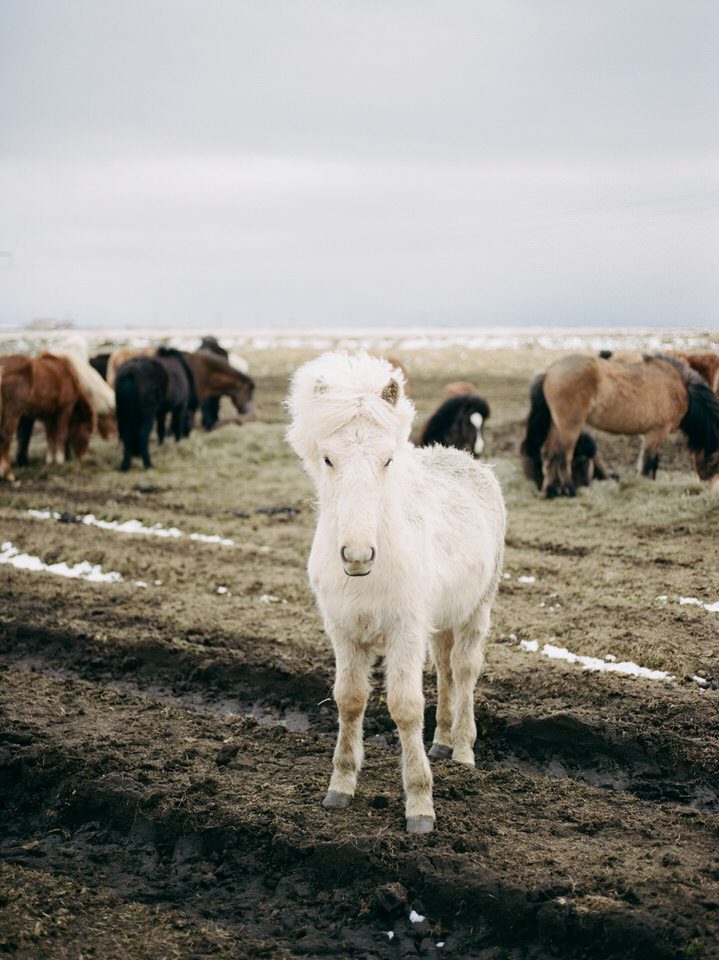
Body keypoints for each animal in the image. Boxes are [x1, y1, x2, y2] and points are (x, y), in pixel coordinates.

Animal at [0, 352, 95, 480]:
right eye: (88, 430)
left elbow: (49, 436)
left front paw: (50, 460)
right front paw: (60, 460)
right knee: (5, 438)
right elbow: (61, 434)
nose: (86, 456)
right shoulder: (64, 409)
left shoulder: (48, 414)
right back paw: (9, 474)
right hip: (13, 413)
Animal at [286, 352, 506, 832]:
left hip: (477, 609)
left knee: (464, 670)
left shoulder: (405, 631)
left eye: (387, 460)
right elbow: (349, 700)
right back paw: (441, 741)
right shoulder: (345, 632)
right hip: (440, 619)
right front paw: (341, 786)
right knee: (444, 668)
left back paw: (463, 751)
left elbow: (405, 707)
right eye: (327, 459)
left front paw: (420, 805)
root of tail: (465, 459)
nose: (357, 555)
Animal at [524, 356, 719, 498]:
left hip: (554, 425)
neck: (680, 388)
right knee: (563, 456)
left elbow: (653, 461)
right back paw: (570, 491)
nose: (709, 486)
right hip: (569, 426)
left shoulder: (648, 434)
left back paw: (550, 491)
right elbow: (648, 462)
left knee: (548, 454)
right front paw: (644, 486)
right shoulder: (657, 432)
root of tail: (550, 372)